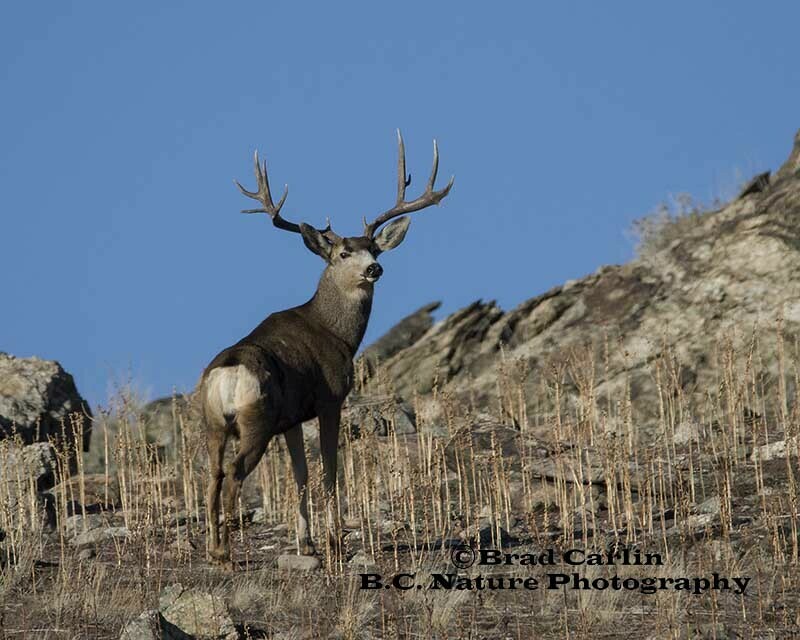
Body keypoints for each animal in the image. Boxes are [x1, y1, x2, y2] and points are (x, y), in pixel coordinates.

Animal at [199, 131, 454, 567]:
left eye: (375, 249)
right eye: (343, 253)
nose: (374, 268)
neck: (336, 333)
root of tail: (228, 372)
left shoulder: (291, 418)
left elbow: (300, 474)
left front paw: (307, 543)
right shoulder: (330, 398)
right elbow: (330, 470)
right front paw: (335, 540)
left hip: (215, 423)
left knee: (213, 475)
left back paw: (213, 546)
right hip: (255, 419)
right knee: (233, 473)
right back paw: (224, 552)